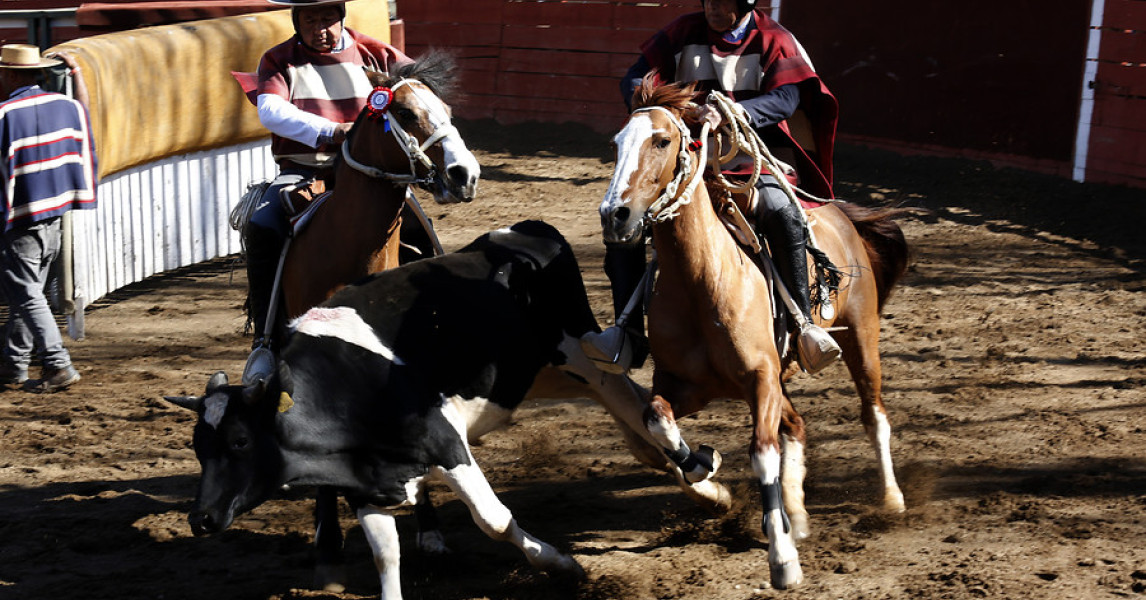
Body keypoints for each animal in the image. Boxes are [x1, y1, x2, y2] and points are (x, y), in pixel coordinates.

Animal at [166, 220, 710, 598]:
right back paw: (701, 476)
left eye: (240, 440)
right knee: (632, 403)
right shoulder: (366, 482)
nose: (201, 519)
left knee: (627, 400)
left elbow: (494, 520)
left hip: (579, 351)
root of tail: (527, 232)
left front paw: (561, 564)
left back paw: (693, 469)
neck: (346, 383)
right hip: (539, 373)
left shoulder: (447, 444)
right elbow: (386, 555)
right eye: (197, 449)